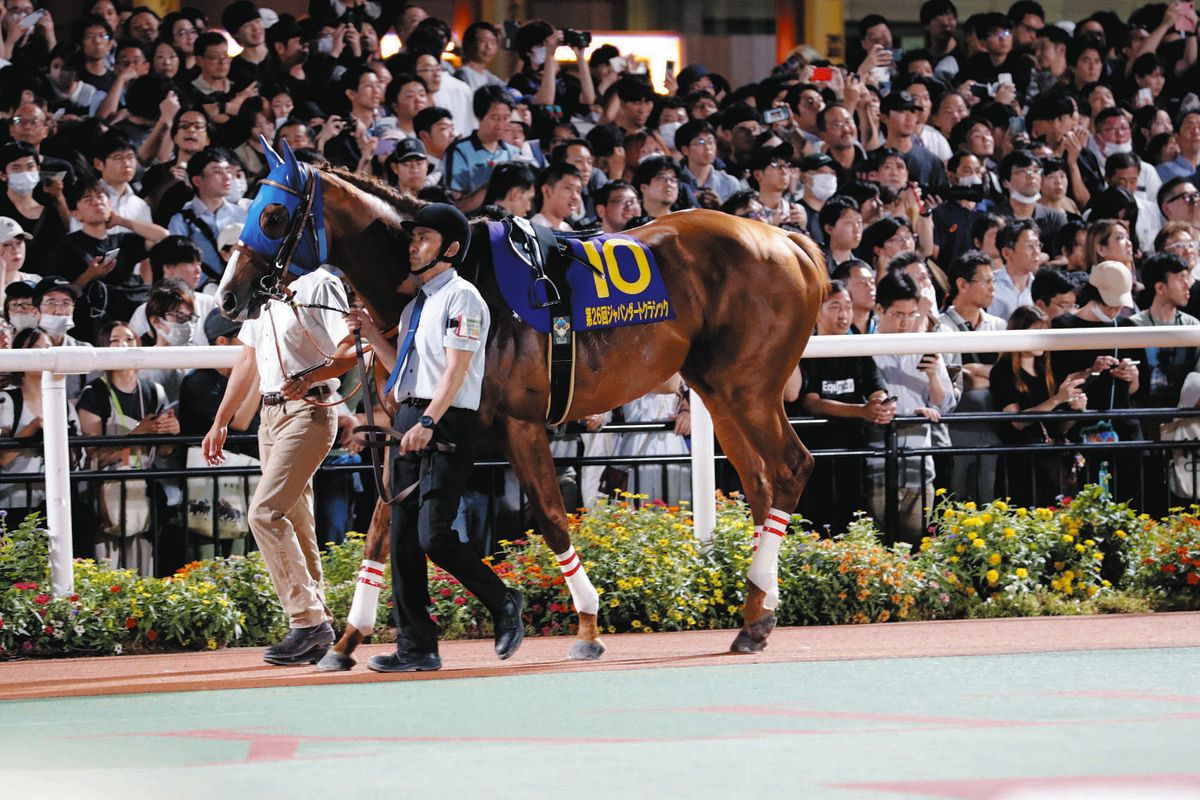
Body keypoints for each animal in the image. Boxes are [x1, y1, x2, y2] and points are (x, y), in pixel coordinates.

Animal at [217, 139, 827, 668]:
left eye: (273, 217)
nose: (228, 297)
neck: (455, 282)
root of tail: (789, 241)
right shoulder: (403, 432)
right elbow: (381, 532)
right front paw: (346, 642)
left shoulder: (520, 423)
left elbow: (552, 519)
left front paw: (586, 625)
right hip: (718, 389)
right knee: (761, 485)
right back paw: (756, 616)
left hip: (747, 388)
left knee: (791, 469)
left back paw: (756, 608)